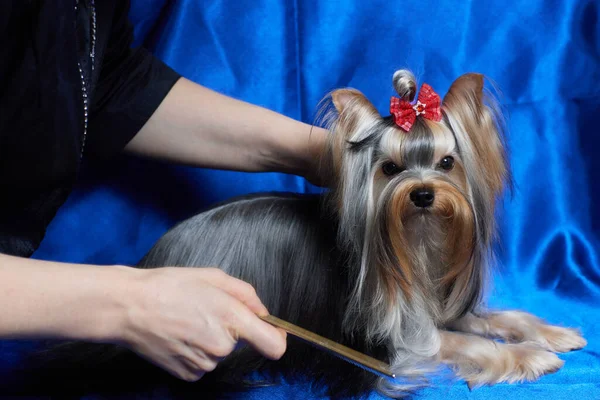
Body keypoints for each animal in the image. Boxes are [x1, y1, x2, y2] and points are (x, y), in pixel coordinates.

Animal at [12, 70, 584, 398]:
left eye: (447, 162)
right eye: (390, 169)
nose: (423, 194)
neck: (418, 240)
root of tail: (153, 259)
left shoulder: (442, 294)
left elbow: (490, 318)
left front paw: (553, 333)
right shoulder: (397, 342)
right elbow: (462, 341)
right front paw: (529, 356)